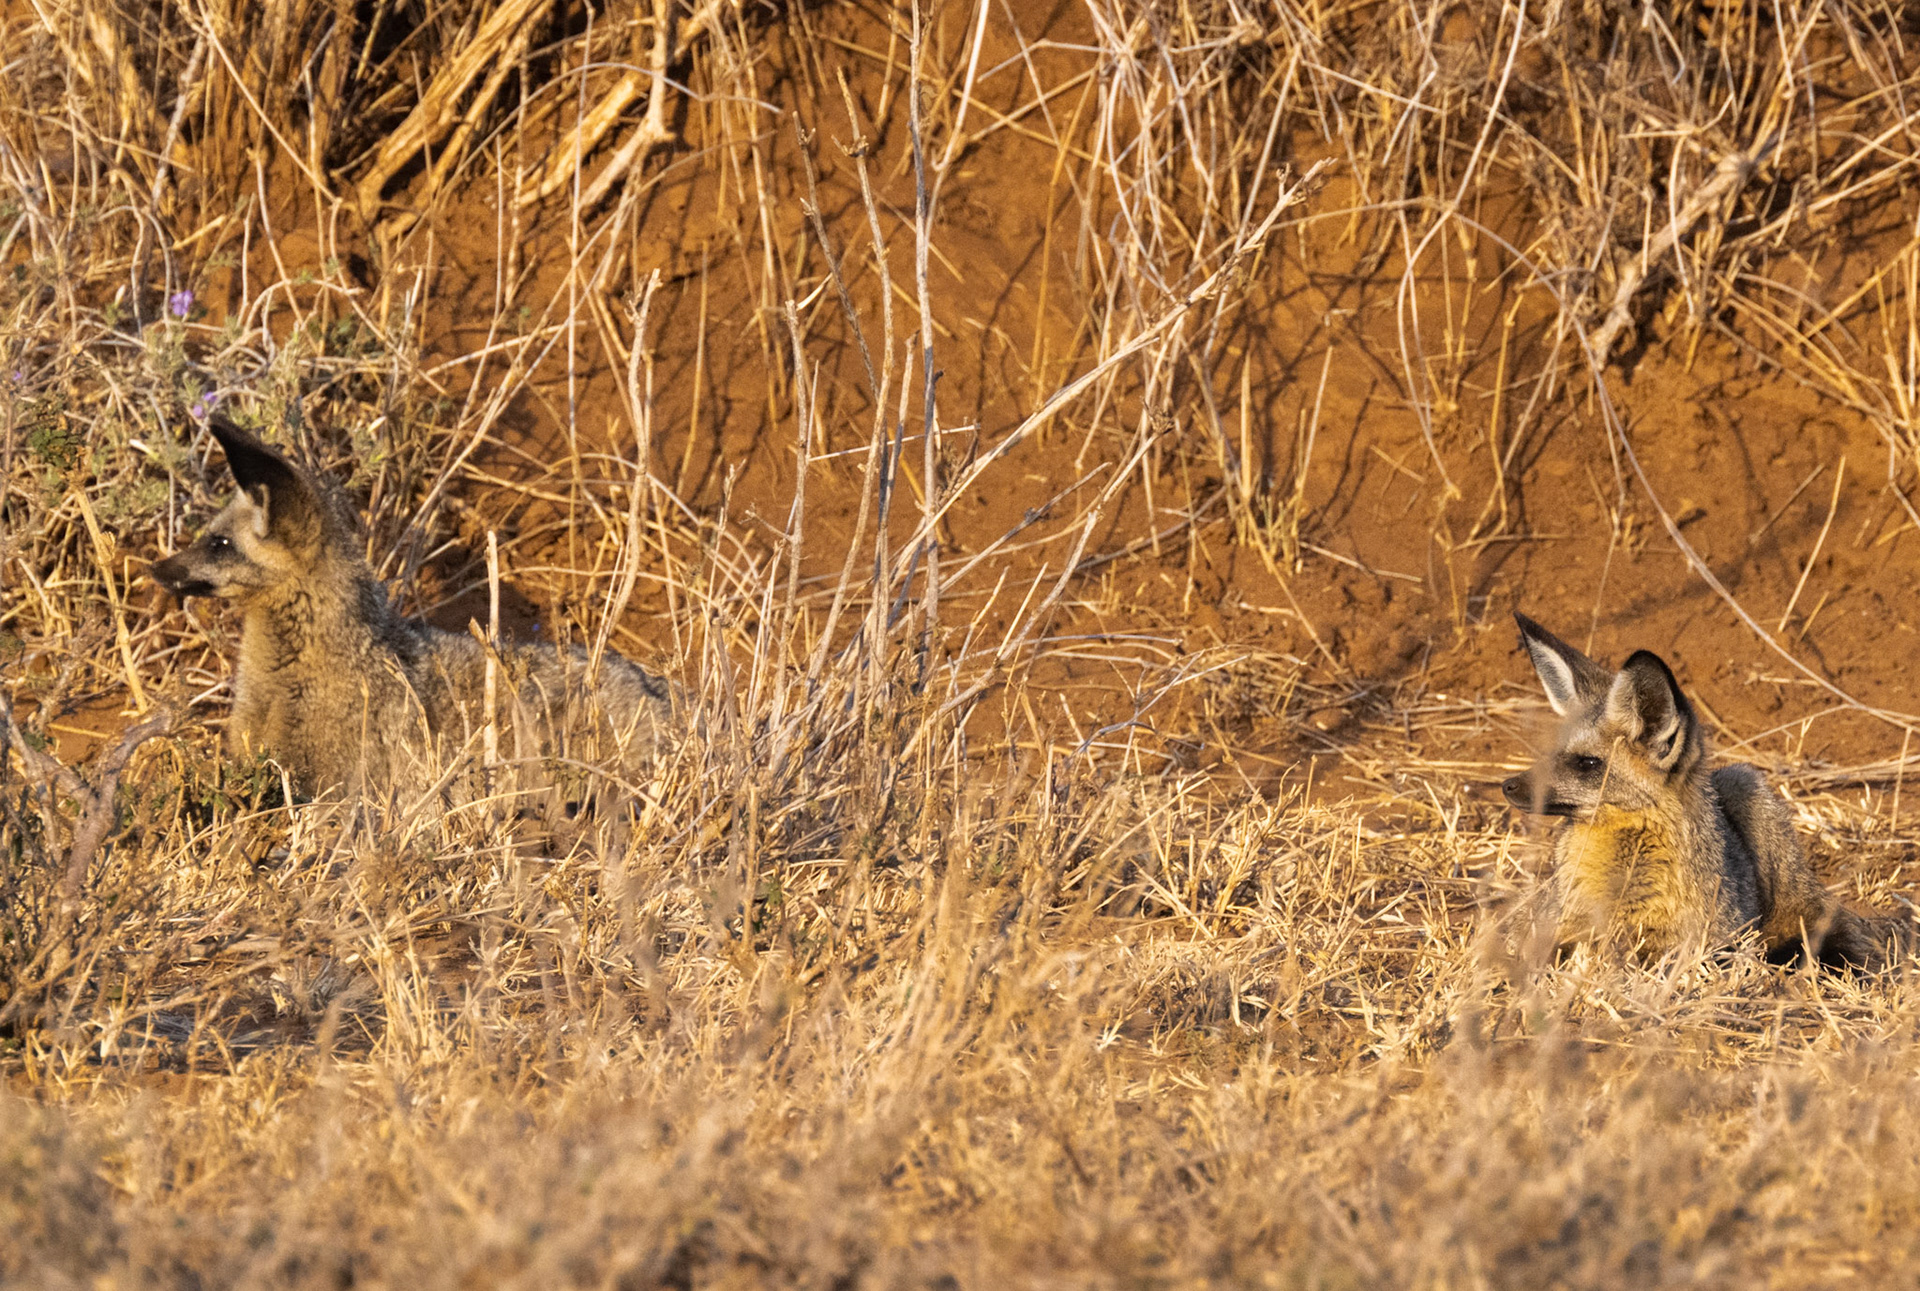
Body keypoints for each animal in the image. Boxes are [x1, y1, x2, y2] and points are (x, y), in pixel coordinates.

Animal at [1503, 612, 1899, 968]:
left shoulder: (1710, 940)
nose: (1507, 785)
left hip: (1748, 788)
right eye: (1552, 754)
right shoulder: (1556, 927)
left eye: (1587, 763)